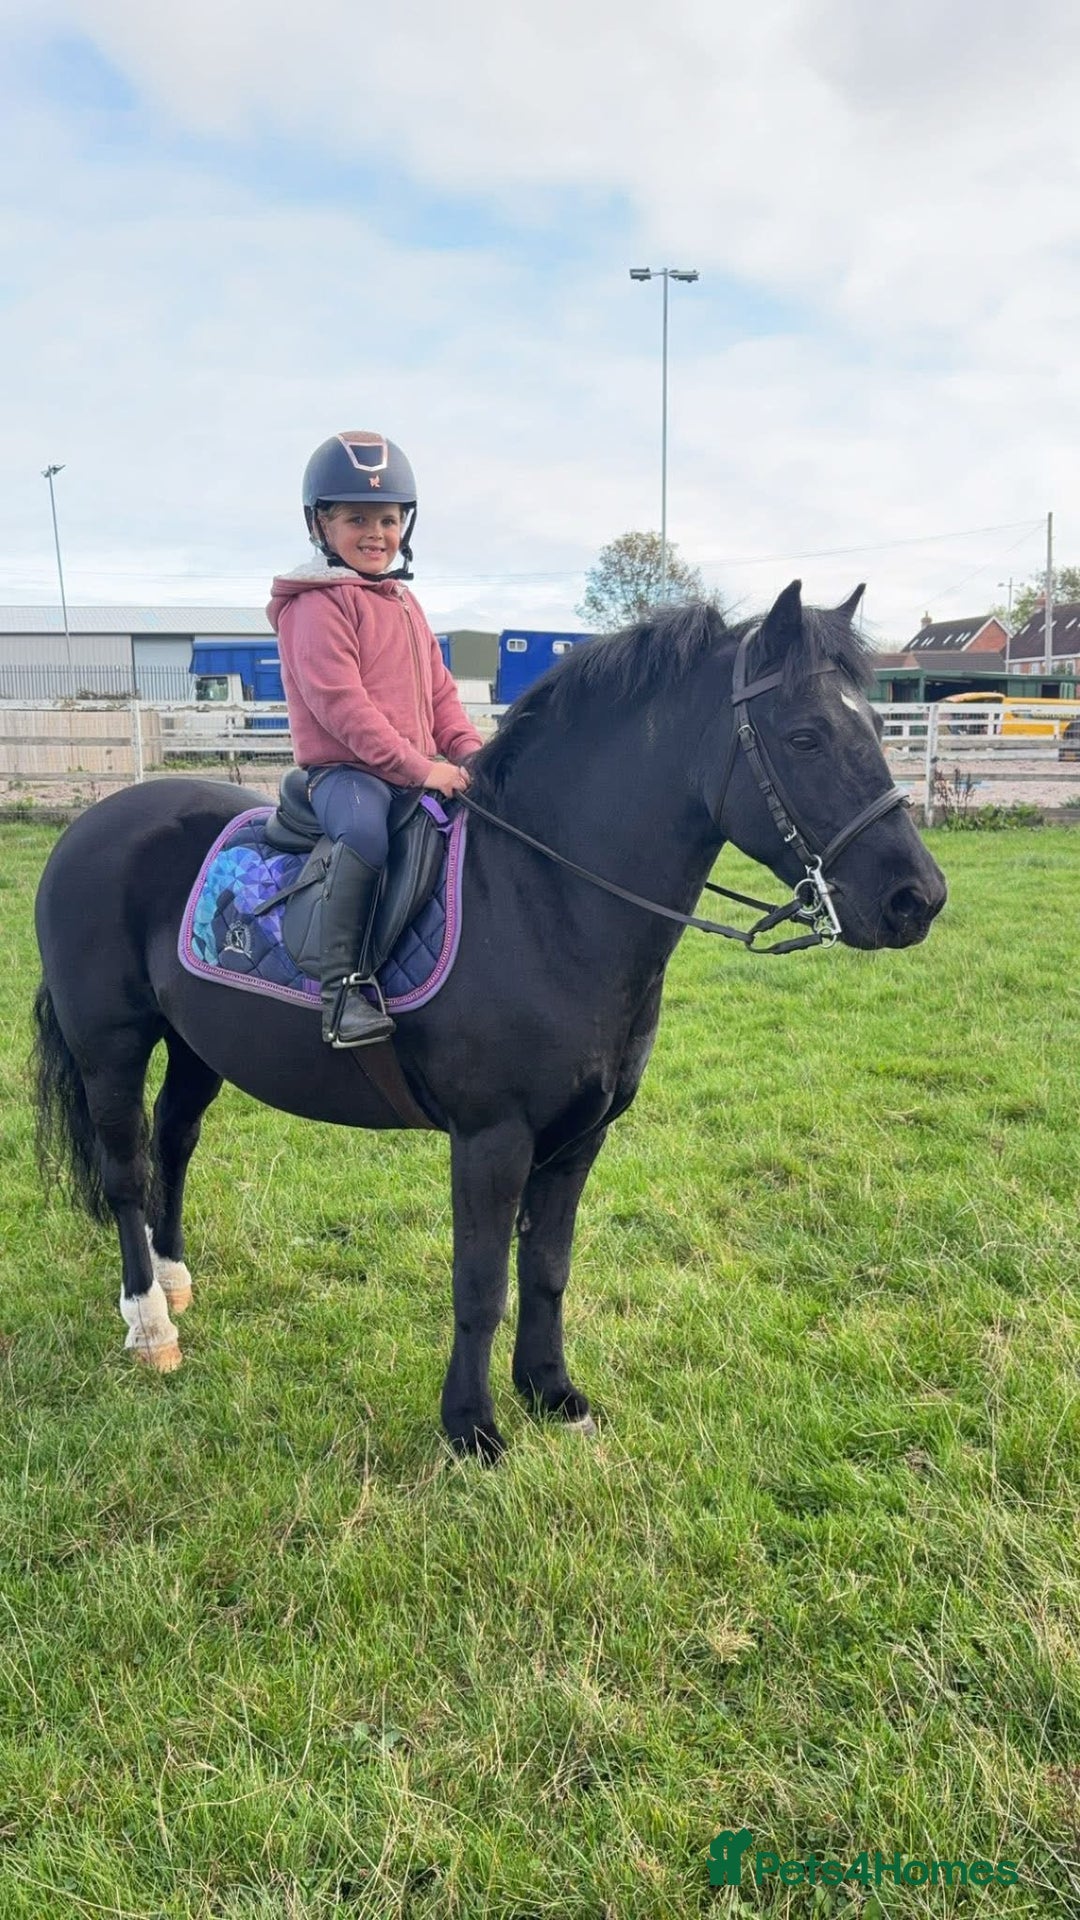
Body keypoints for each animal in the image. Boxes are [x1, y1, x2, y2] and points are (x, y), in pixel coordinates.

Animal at [32, 583, 946, 1460]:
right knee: (125, 1171)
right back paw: (150, 1324)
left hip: (197, 1045)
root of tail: (92, 824)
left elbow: (547, 1269)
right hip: (110, 1046)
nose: (918, 899)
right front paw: (471, 1429)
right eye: (805, 737)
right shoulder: (492, 1138)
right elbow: (481, 1285)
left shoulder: (579, 1139)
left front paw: (551, 1393)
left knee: (174, 1141)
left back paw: (174, 1278)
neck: (545, 896)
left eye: (876, 725)